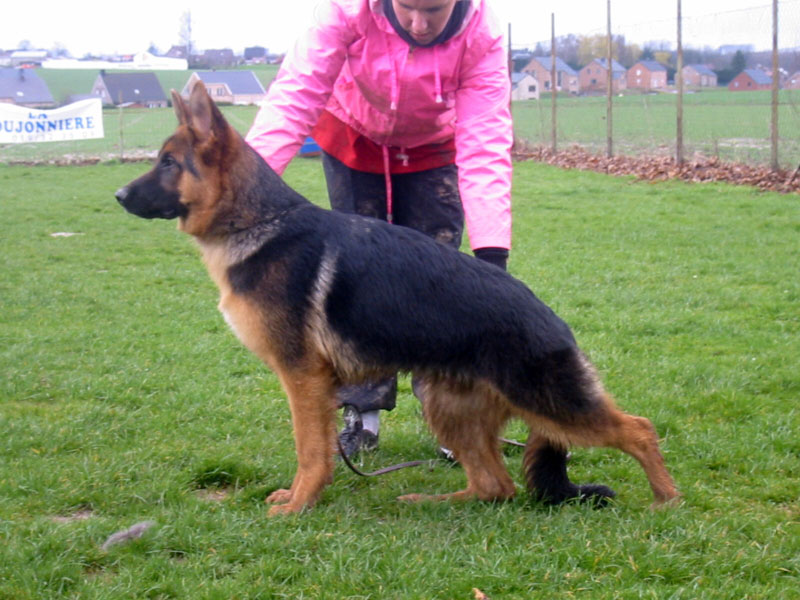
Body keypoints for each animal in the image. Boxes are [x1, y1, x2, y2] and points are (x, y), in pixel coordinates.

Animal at [115, 83, 680, 516]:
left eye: (168, 163)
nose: (118, 196)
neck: (258, 222)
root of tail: (553, 320)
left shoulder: (302, 380)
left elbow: (309, 450)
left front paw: (298, 505)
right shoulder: (315, 386)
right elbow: (315, 447)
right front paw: (302, 499)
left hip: (547, 400)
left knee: (639, 430)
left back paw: (666, 500)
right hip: (449, 405)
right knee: (495, 486)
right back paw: (430, 502)